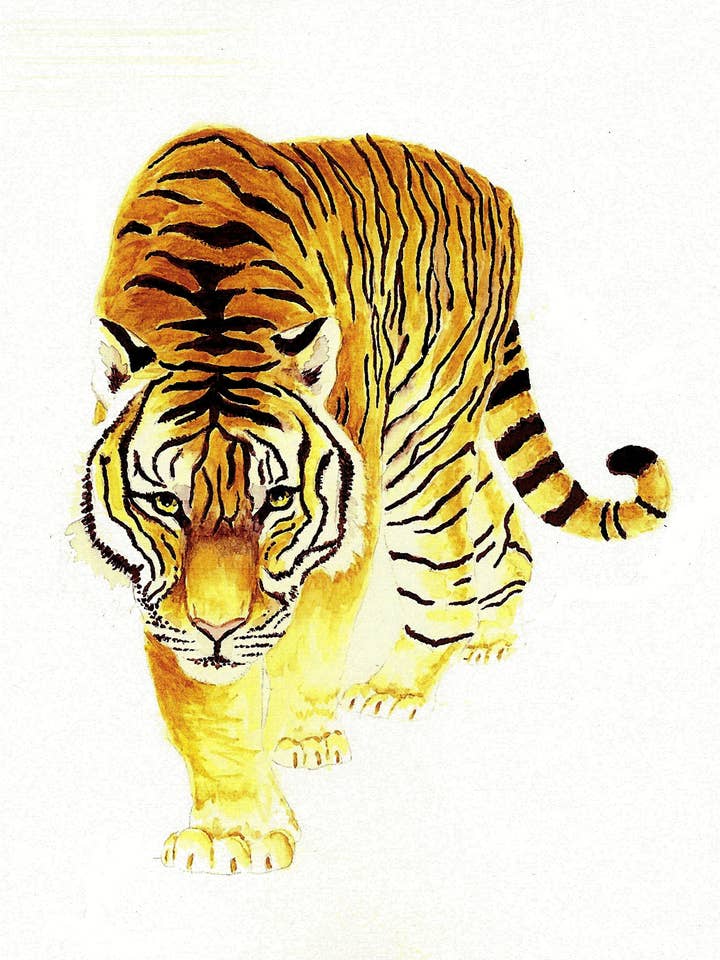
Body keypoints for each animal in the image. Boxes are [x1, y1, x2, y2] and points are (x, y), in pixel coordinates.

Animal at [79, 126, 670, 874]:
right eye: (162, 502)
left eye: (277, 499)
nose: (220, 628)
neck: (210, 318)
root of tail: (492, 188)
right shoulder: (156, 582)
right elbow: (205, 702)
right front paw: (232, 829)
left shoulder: (338, 533)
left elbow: (311, 645)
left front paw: (300, 744)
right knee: (499, 520)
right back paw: (493, 634)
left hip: (425, 443)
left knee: (446, 567)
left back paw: (401, 685)